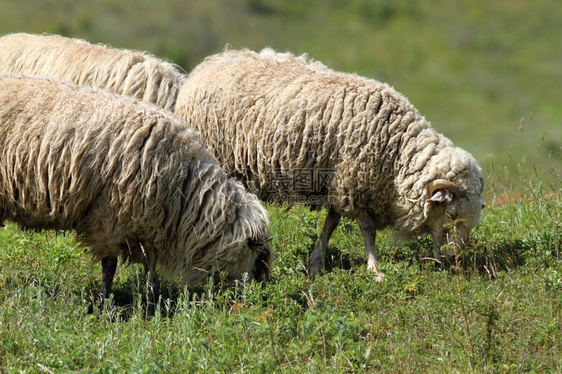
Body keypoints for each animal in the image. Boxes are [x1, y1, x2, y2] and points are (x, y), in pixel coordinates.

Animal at [0, 74, 274, 304]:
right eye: (259, 256)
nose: (262, 292)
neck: (186, 190)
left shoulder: (151, 227)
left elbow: (151, 269)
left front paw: (153, 302)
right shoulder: (108, 219)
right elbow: (109, 265)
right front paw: (105, 303)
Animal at [174, 48, 482, 280]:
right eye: (452, 214)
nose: (455, 259)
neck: (396, 150)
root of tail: (209, 62)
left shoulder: (339, 182)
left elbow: (331, 223)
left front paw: (316, 263)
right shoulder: (355, 182)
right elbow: (367, 231)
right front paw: (374, 269)